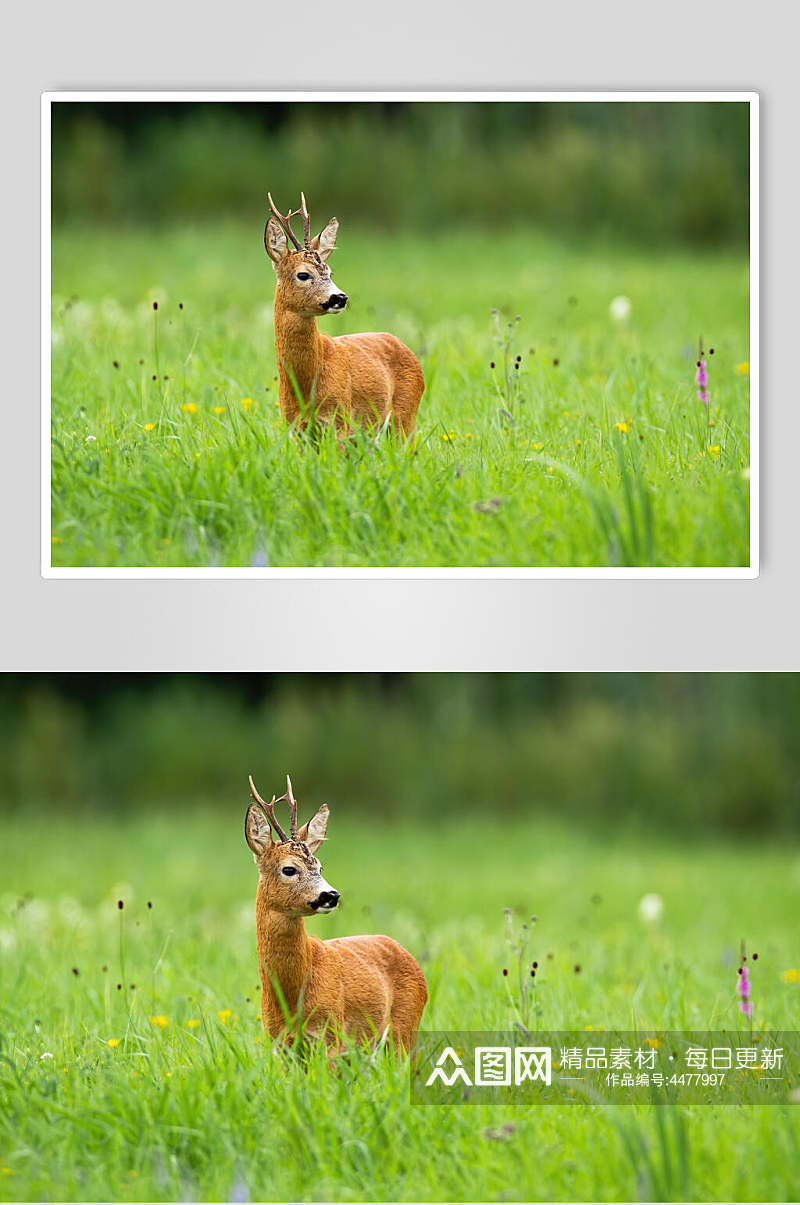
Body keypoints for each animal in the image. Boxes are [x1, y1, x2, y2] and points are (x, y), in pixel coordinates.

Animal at [245, 776, 428, 1050]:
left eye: (320, 867)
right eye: (289, 869)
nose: (331, 895)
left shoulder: (330, 1032)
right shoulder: (276, 1041)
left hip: (405, 1029)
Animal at [262, 195, 424, 441]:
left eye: (330, 272)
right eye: (303, 274)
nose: (340, 297)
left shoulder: (338, 418)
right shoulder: (293, 426)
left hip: (405, 416)